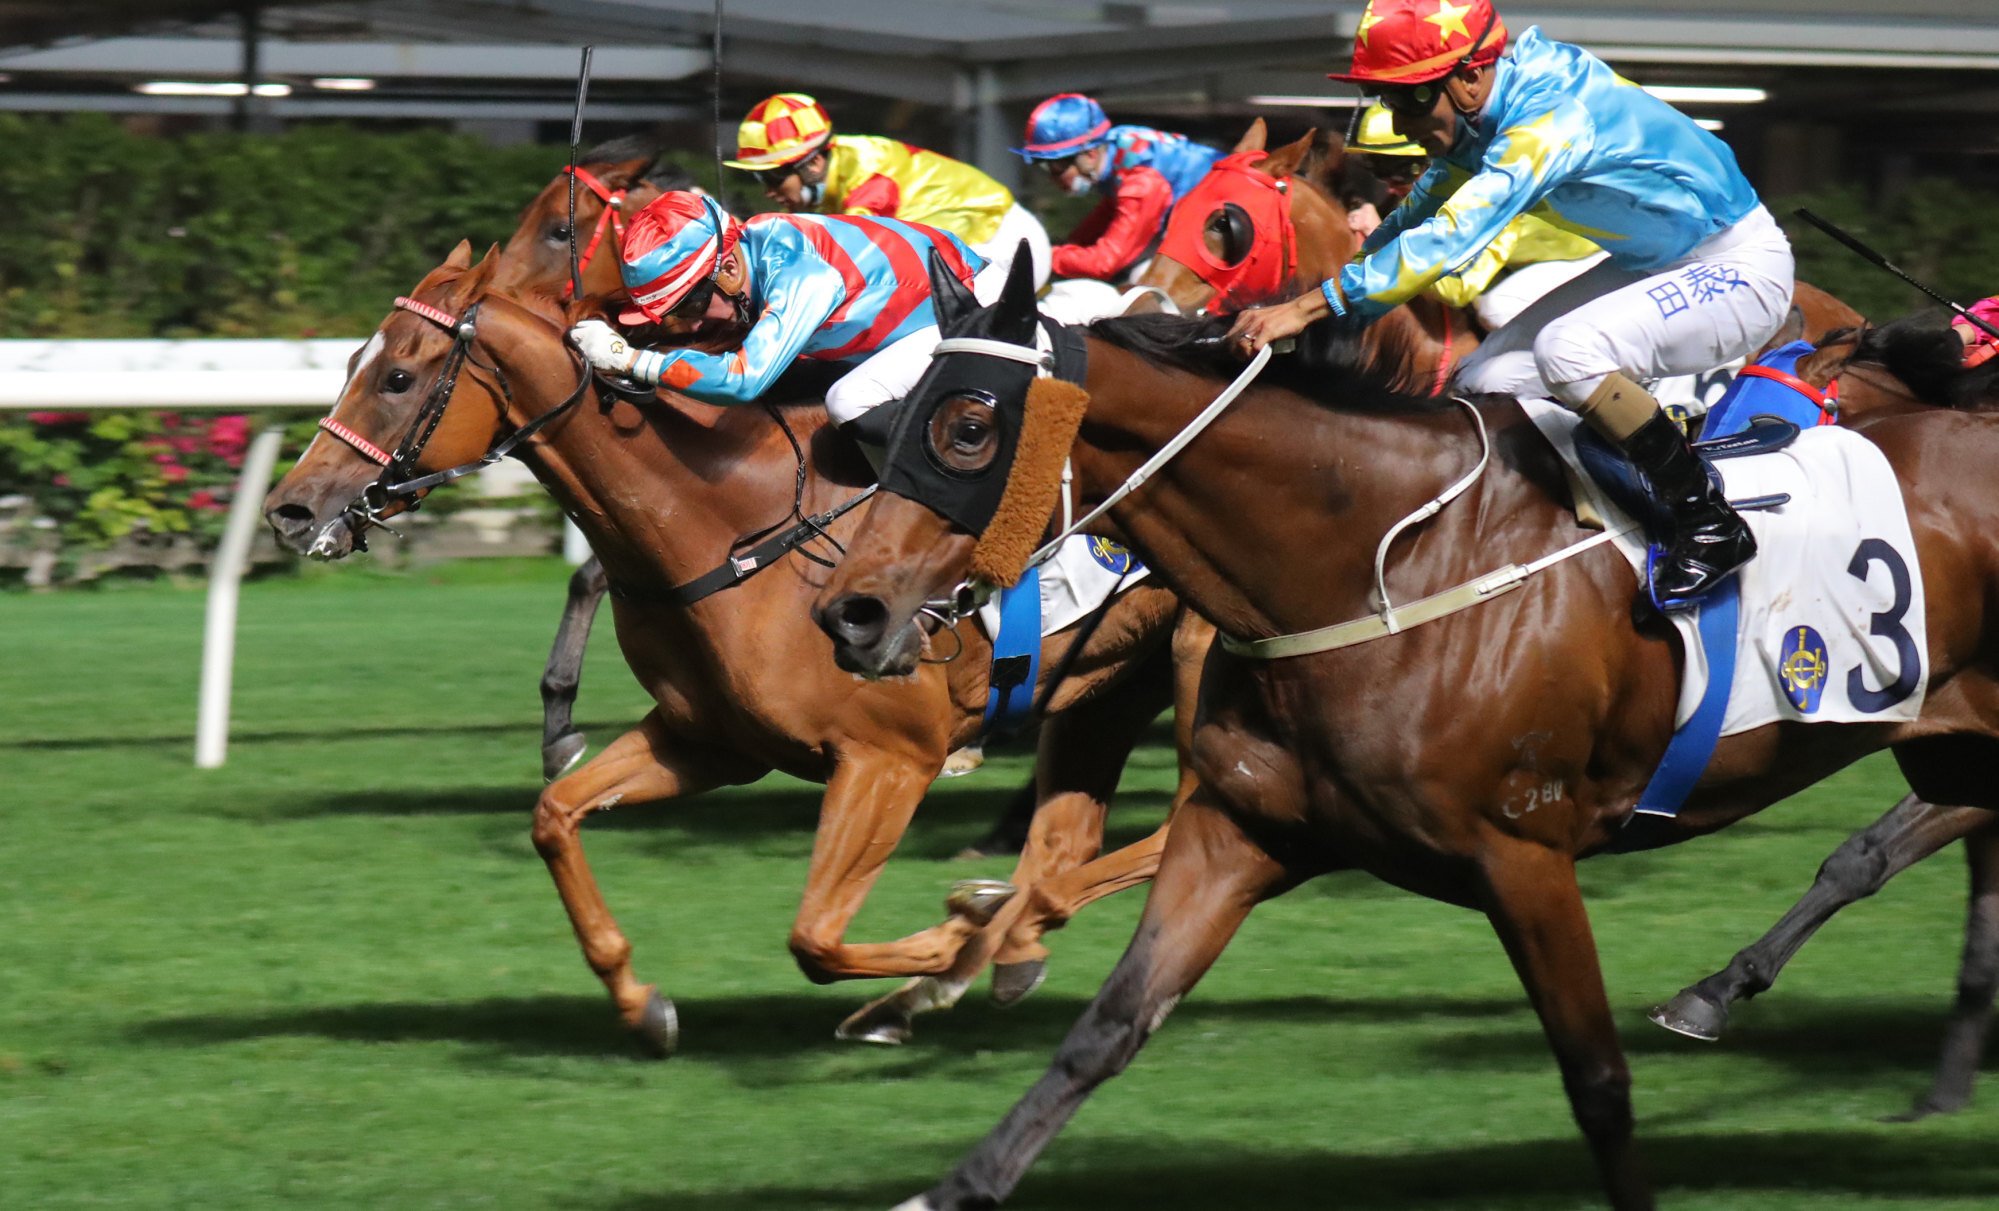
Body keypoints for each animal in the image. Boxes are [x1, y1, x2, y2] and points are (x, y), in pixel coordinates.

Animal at [269, 244, 1199, 1055]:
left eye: (397, 376)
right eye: (350, 360)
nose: (290, 509)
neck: (728, 529)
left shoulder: (890, 757)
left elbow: (814, 936)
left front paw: (950, 947)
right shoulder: (709, 740)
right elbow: (554, 814)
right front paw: (641, 1005)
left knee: (1164, 831)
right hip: (1110, 686)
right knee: (1078, 843)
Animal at [811, 265, 1999, 1211]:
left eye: (967, 424)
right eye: (895, 421)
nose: (850, 613)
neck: (1372, 565)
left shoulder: (1524, 856)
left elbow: (1598, 1081)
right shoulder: (1236, 829)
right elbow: (1106, 1027)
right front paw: (955, 1179)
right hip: (1954, 742)